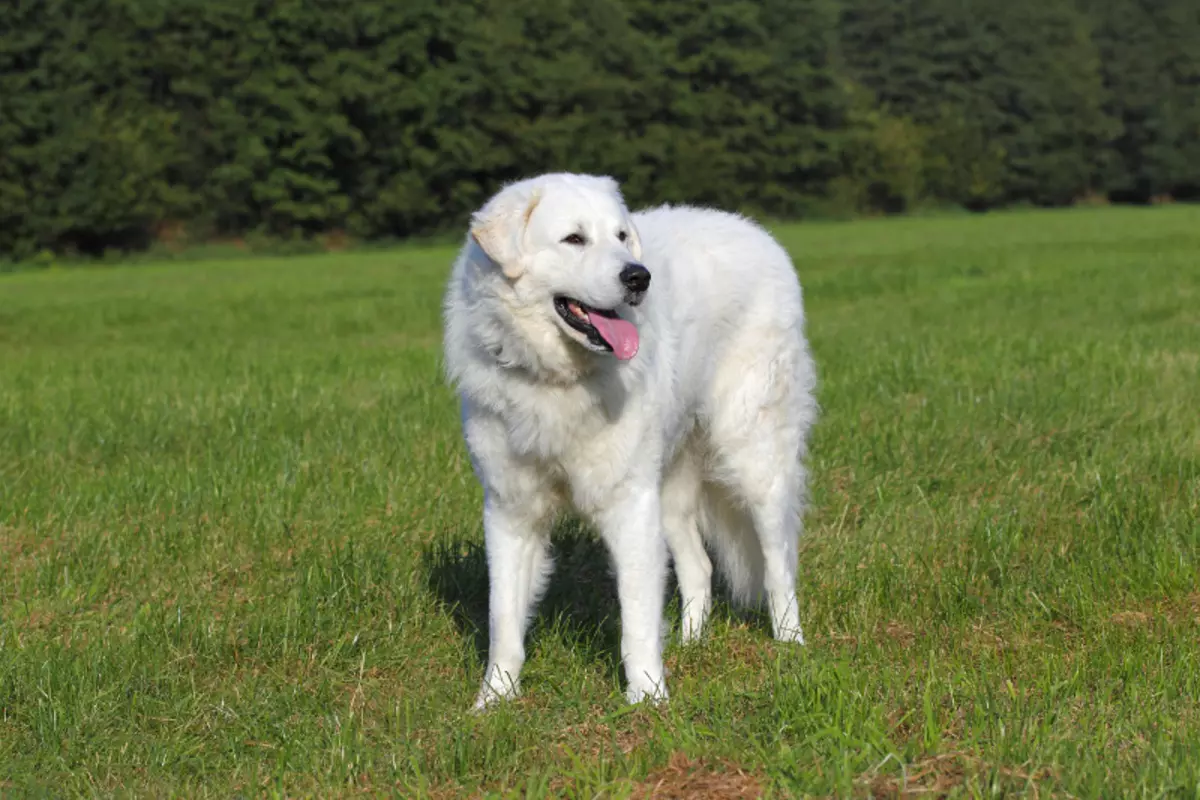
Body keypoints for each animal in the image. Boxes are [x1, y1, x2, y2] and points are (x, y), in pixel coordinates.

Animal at [446, 170, 820, 705]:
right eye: (574, 239)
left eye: (621, 236)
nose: (638, 277)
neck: (558, 380)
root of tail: (757, 233)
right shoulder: (511, 508)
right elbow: (504, 618)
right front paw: (494, 700)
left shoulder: (629, 504)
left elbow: (637, 617)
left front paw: (647, 698)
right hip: (668, 486)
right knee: (700, 568)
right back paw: (690, 643)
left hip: (754, 460)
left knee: (778, 566)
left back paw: (791, 646)